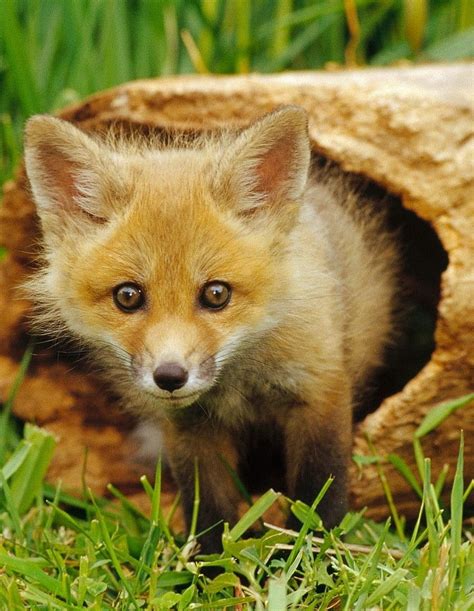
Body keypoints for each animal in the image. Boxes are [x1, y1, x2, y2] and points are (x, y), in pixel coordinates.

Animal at [24, 107, 398, 552]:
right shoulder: (190, 427)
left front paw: (311, 556)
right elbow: (209, 508)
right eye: (128, 296)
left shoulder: (319, 389)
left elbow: (319, 492)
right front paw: (210, 564)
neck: (239, 383)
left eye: (216, 294)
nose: (170, 376)